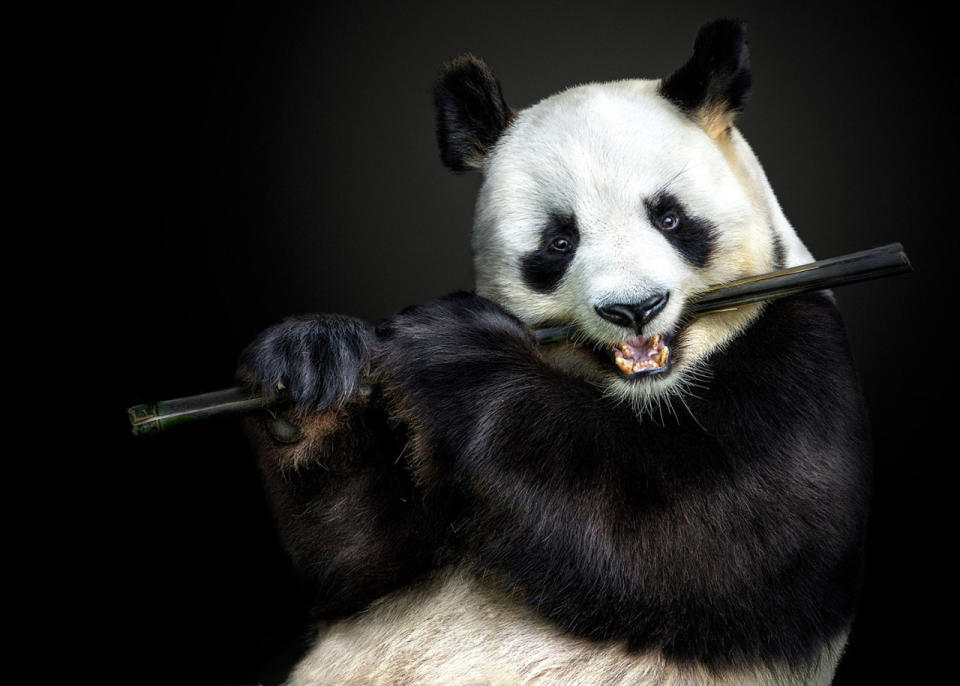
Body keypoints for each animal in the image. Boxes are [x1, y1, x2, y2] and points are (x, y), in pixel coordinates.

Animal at [238, 18, 872, 684]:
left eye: (669, 218)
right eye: (559, 241)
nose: (634, 308)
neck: (650, 397)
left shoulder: (803, 360)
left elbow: (694, 542)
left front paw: (455, 349)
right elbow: (357, 562)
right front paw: (309, 367)